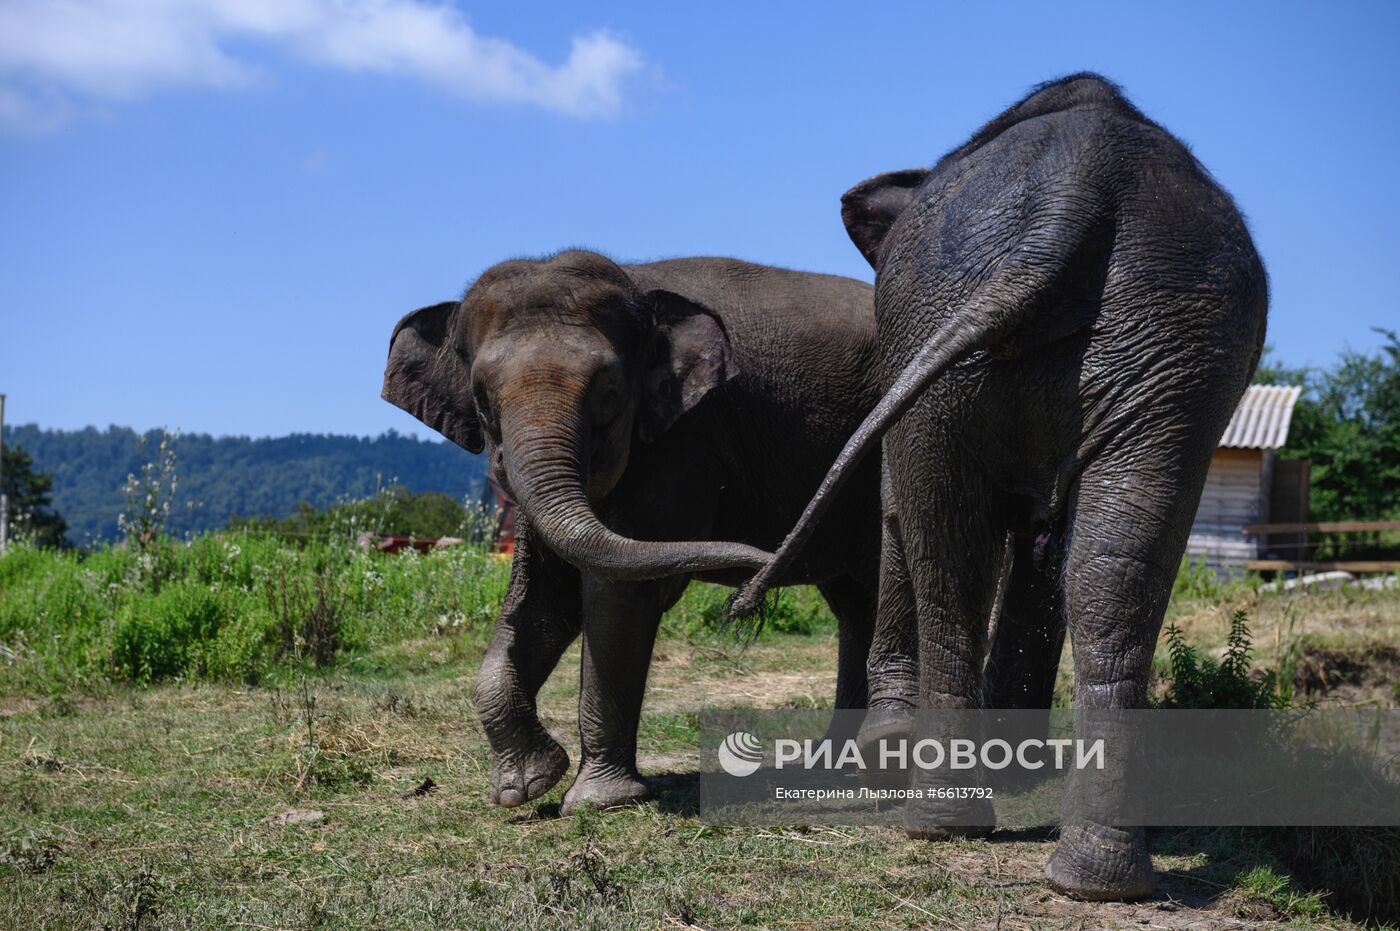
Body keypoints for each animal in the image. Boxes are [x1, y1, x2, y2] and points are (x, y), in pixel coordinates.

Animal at [378, 249, 918, 812]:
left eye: (610, 393)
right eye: (483, 402)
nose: (761, 568)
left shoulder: (683, 439)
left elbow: (618, 593)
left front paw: (599, 801)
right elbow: (544, 598)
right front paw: (525, 787)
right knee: (855, 600)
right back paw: (831, 764)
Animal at [728, 74, 1265, 901]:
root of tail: (1078, 189)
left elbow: (902, 511)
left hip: (954, 322)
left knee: (949, 549)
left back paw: (940, 821)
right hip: (1170, 336)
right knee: (1117, 562)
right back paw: (1096, 880)